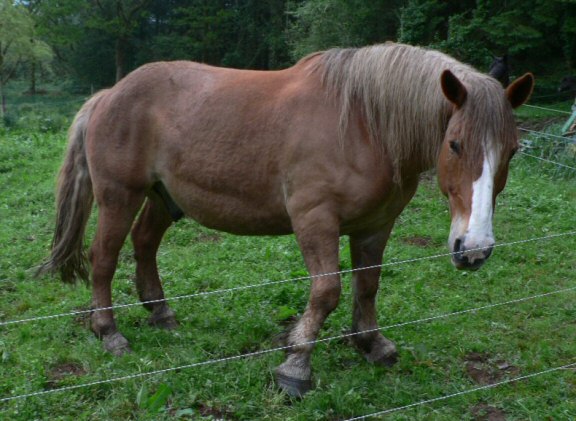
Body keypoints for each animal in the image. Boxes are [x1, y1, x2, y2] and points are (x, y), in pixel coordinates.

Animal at [38, 43, 536, 398]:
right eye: (454, 144)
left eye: (512, 150)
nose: (474, 250)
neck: (364, 124)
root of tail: (109, 94)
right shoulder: (315, 220)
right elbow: (327, 291)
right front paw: (295, 365)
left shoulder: (376, 225)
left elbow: (367, 285)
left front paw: (371, 344)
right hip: (119, 196)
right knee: (103, 257)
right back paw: (109, 332)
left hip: (164, 198)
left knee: (144, 244)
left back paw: (161, 313)